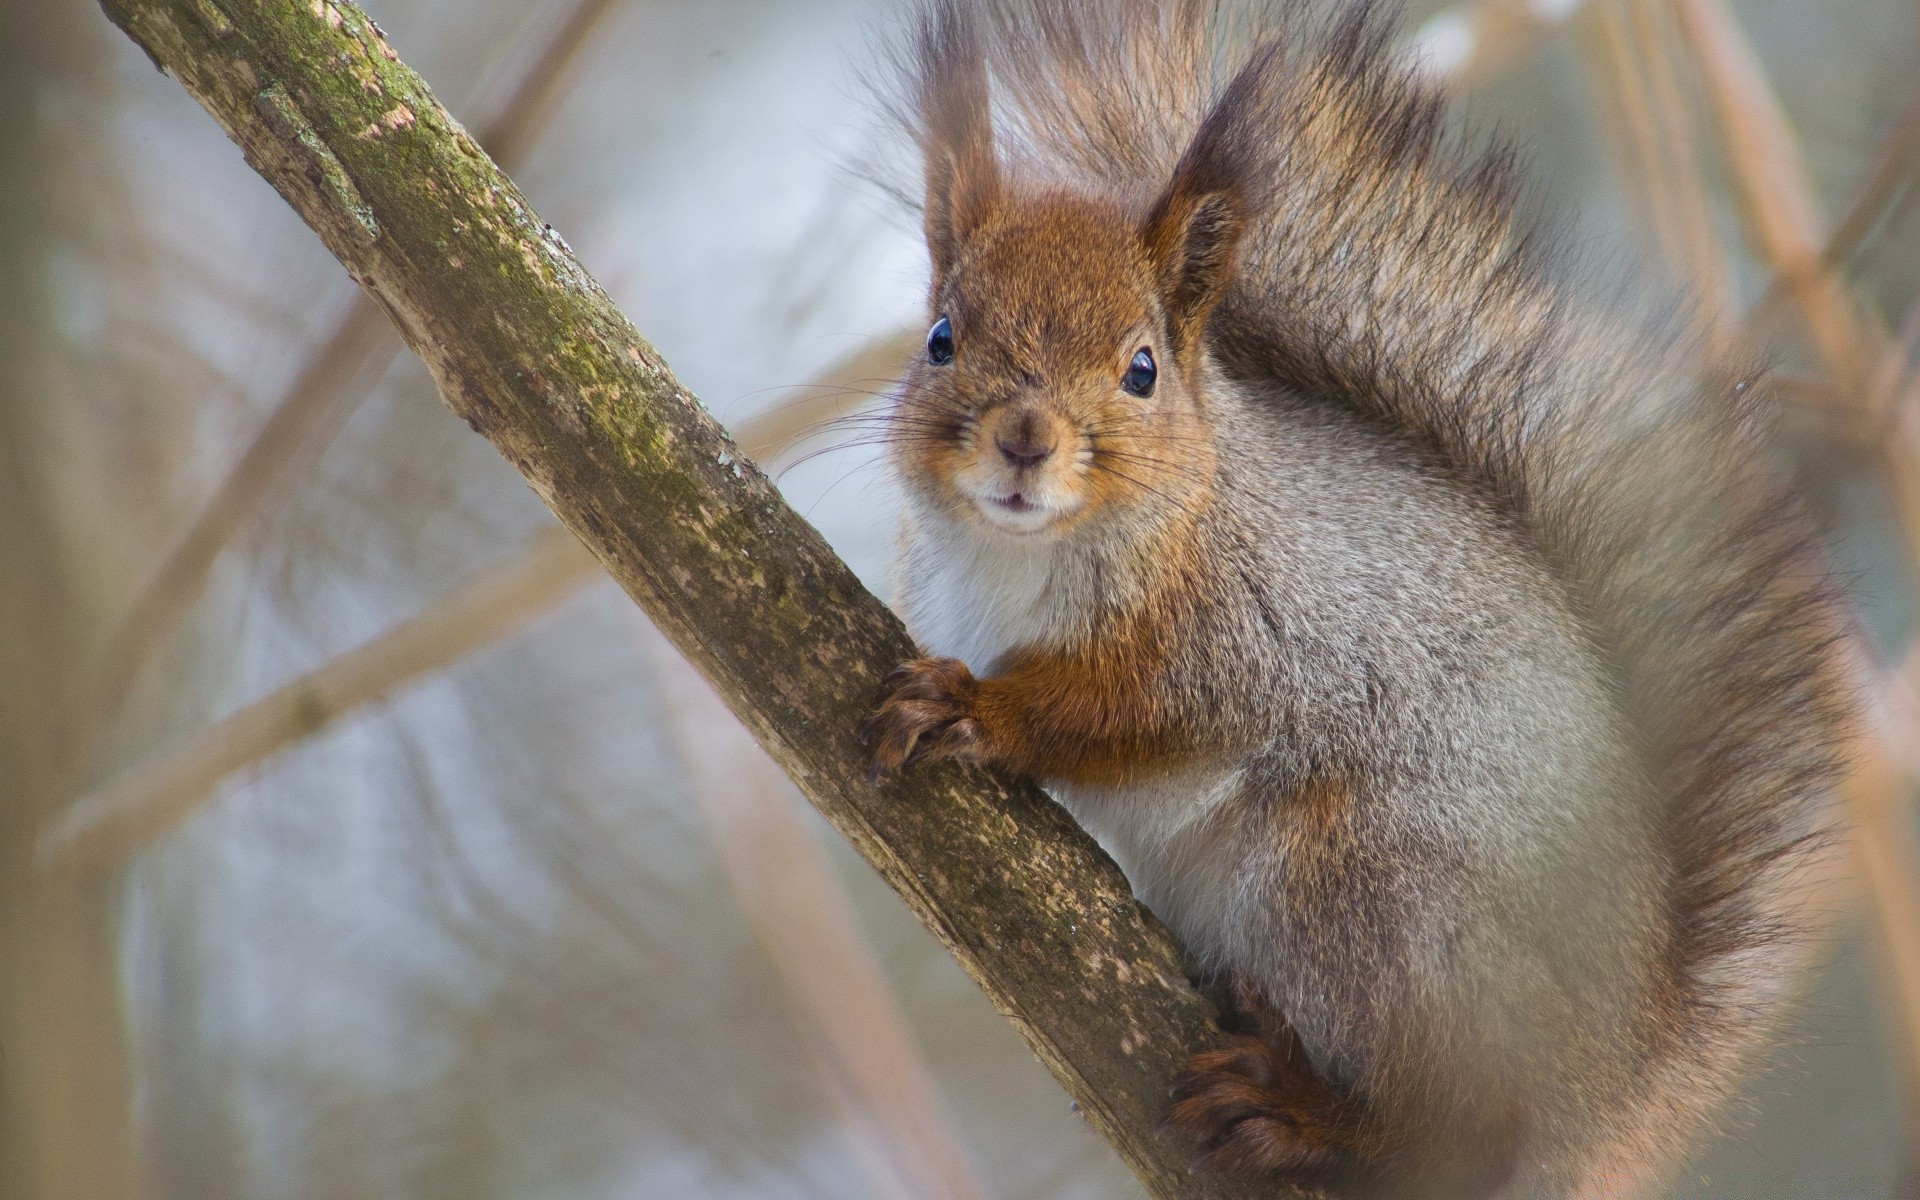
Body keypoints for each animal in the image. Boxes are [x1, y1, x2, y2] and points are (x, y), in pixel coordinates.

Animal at [864, 2, 1850, 1190]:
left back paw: (1308, 1114)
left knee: (1467, 1134)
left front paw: (981, 709)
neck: (1028, 554)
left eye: (1142, 368)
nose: (1023, 439)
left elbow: (1129, 710)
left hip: (1366, 893)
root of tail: (1610, 1088)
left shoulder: (1253, 629)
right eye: (940, 339)